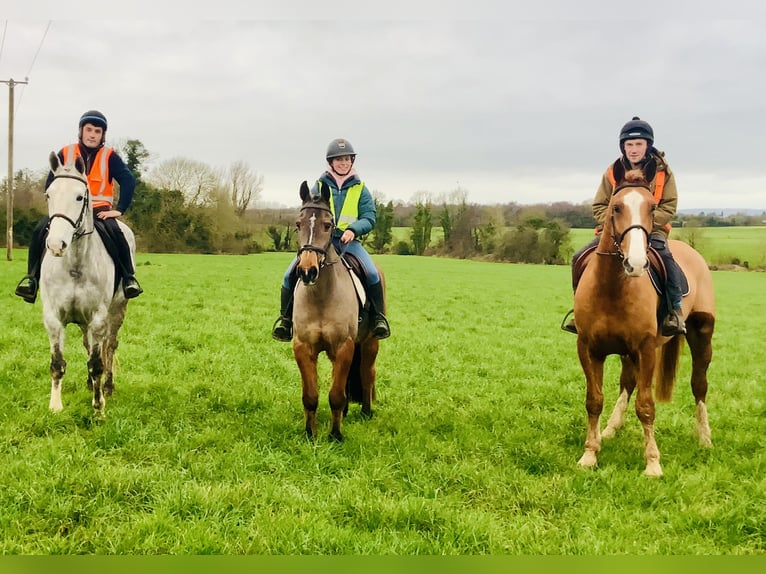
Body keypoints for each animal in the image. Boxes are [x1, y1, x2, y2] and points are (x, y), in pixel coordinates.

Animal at [40, 152, 134, 413]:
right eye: (49, 195)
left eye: (79, 196)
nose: (56, 245)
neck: (74, 265)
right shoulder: (53, 319)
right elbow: (57, 363)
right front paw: (55, 406)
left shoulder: (99, 319)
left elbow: (97, 363)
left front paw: (98, 407)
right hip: (82, 322)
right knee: (87, 345)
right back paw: (91, 385)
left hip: (116, 311)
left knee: (109, 347)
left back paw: (107, 387)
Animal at [291, 180, 383, 441]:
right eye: (298, 224)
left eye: (327, 225)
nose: (307, 271)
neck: (322, 296)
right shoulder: (303, 347)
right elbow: (310, 396)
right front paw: (310, 434)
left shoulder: (343, 347)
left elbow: (336, 395)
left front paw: (335, 436)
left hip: (370, 342)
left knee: (367, 374)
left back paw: (365, 412)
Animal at [573, 167, 715, 477]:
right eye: (616, 207)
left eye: (651, 208)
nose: (636, 263)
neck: (611, 288)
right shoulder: (589, 348)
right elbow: (594, 400)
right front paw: (590, 453)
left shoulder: (647, 348)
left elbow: (646, 405)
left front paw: (652, 462)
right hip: (628, 353)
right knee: (628, 382)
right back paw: (611, 428)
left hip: (702, 334)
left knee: (699, 384)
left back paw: (705, 438)